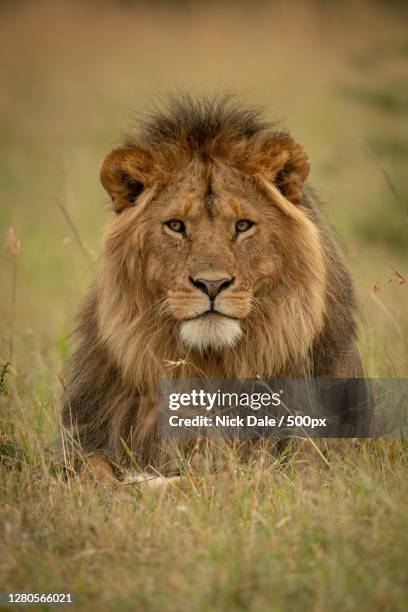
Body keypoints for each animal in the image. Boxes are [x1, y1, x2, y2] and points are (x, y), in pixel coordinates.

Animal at [63, 93, 364, 480]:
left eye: (243, 226)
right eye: (176, 225)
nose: (212, 284)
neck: (210, 371)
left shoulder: (306, 459)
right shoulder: (87, 438)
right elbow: (92, 470)